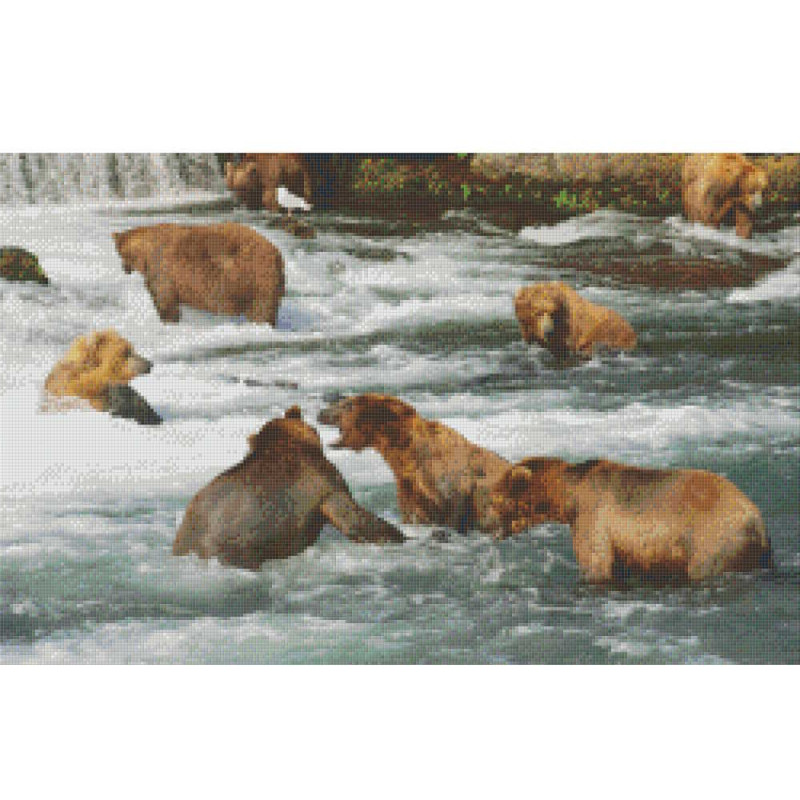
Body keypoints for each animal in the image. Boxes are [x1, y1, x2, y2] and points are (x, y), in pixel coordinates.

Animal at [112, 223, 285, 324]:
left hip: (255, 279)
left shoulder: (162, 269)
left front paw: (169, 321)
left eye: (119, 253)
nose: (124, 269)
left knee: (261, 310)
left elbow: (165, 300)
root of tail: (277, 253)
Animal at [318, 394, 510, 534]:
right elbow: (413, 514)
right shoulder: (409, 487)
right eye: (342, 401)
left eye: (347, 404)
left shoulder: (450, 483)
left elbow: (452, 512)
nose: (320, 413)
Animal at [489, 456, 771, 584]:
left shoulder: (593, 516)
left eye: (495, 499)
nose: (489, 527)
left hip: (714, 538)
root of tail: (757, 520)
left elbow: (596, 562)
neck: (569, 496)